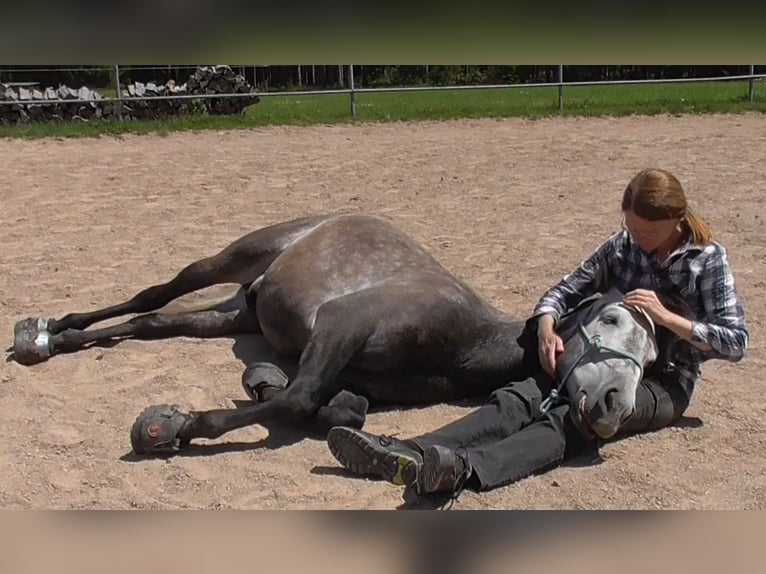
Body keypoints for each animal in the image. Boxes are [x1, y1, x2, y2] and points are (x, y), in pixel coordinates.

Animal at [12, 214, 680, 456]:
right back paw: (45, 332)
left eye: (652, 358)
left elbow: (341, 407)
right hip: (232, 258)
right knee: (154, 294)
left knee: (151, 323)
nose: (614, 406)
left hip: (236, 314)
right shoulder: (340, 326)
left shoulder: (346, 371)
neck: (460, 338)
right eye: (611, 320)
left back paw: (58, 340)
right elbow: (299, 398)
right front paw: (176, 427)